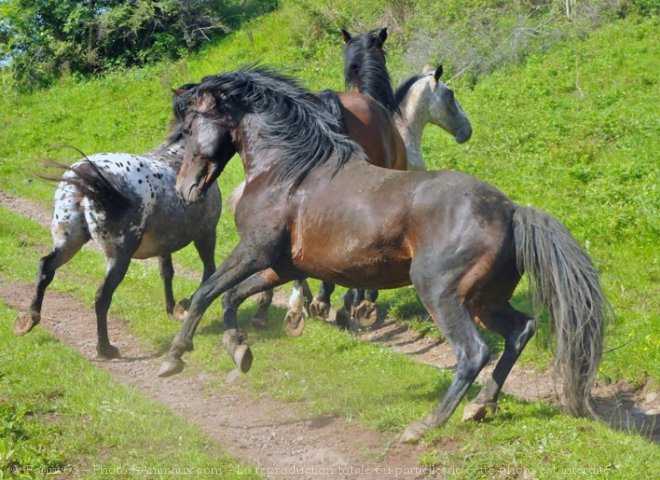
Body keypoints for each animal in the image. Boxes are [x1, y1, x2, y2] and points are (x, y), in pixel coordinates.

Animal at [14, 114, 220, 358]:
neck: (179, 156)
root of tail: (86, 180)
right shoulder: (206, 233)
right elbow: (208, 273)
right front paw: (183, 307)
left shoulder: (164, 243)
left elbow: (167, 273)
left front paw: (172, 309)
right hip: (119, 257)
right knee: (101, 296)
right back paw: (106, 348)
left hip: (69, 241)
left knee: (46, 268)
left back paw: (28, 320)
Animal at [159, 67, 608, 442]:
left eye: (187, 128)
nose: (184, 189)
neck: (289, 173)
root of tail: (512, 210)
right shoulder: (280, 267)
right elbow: (231, 297)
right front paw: (240, 350)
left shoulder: (254, 251)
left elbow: (206, 293)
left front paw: (174, 358)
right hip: (485, 299)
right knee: (520, 331)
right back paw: (481, 407)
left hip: (441, 294)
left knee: (474, 353)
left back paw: (425, 424)